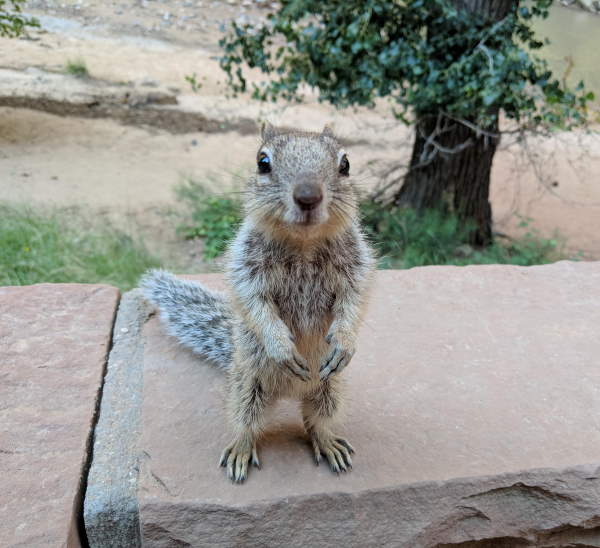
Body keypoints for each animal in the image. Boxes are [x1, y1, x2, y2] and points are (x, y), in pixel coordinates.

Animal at [141, 122, 376, 482]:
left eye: (346, 164)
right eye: (262, 163)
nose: (308, 196)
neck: (303, 243)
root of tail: (293, 392)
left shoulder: (356, 267)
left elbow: (354, 300)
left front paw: (345, 342)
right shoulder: (246, 269)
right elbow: (255, 305)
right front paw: (280, 346)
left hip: (330, 390)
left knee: (315, 421)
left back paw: (328, 442)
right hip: (247, 388)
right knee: (247, 424)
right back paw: (240, 449)